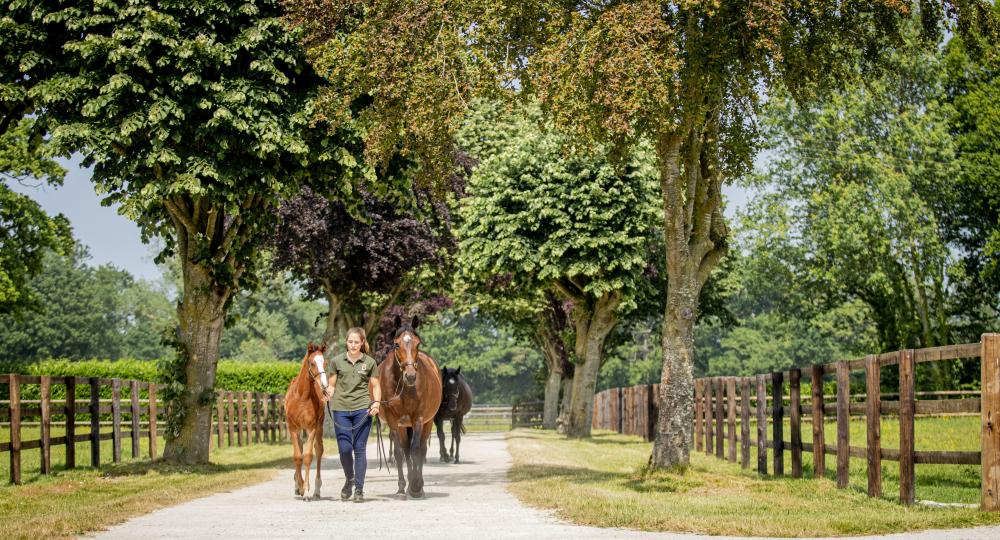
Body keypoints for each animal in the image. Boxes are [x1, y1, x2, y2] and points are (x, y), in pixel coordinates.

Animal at [282, 344, 328, 500]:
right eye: (312, 363)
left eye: (325, 363)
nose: (324, 385)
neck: (302, 396)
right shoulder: (293, 428)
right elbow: (297, 456)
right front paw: (300, 487)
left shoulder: (312, 428)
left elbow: (308, 456)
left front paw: (306, 491)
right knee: (301, 447)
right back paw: (298, 485)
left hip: (319, 426)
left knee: (319, 449)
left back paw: (317, 490)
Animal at [378, 316, 442, 498]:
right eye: (397, 344)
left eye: (418, 344)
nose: (411, 376)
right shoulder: (393, 420)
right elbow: (400, 453)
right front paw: (402, 486)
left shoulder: (418, 419)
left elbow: (416, 450)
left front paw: (416, 486)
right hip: (403, 425)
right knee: (405, 450)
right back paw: (405, 486)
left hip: (427, 422)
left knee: (421, 448)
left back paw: (419, 486)